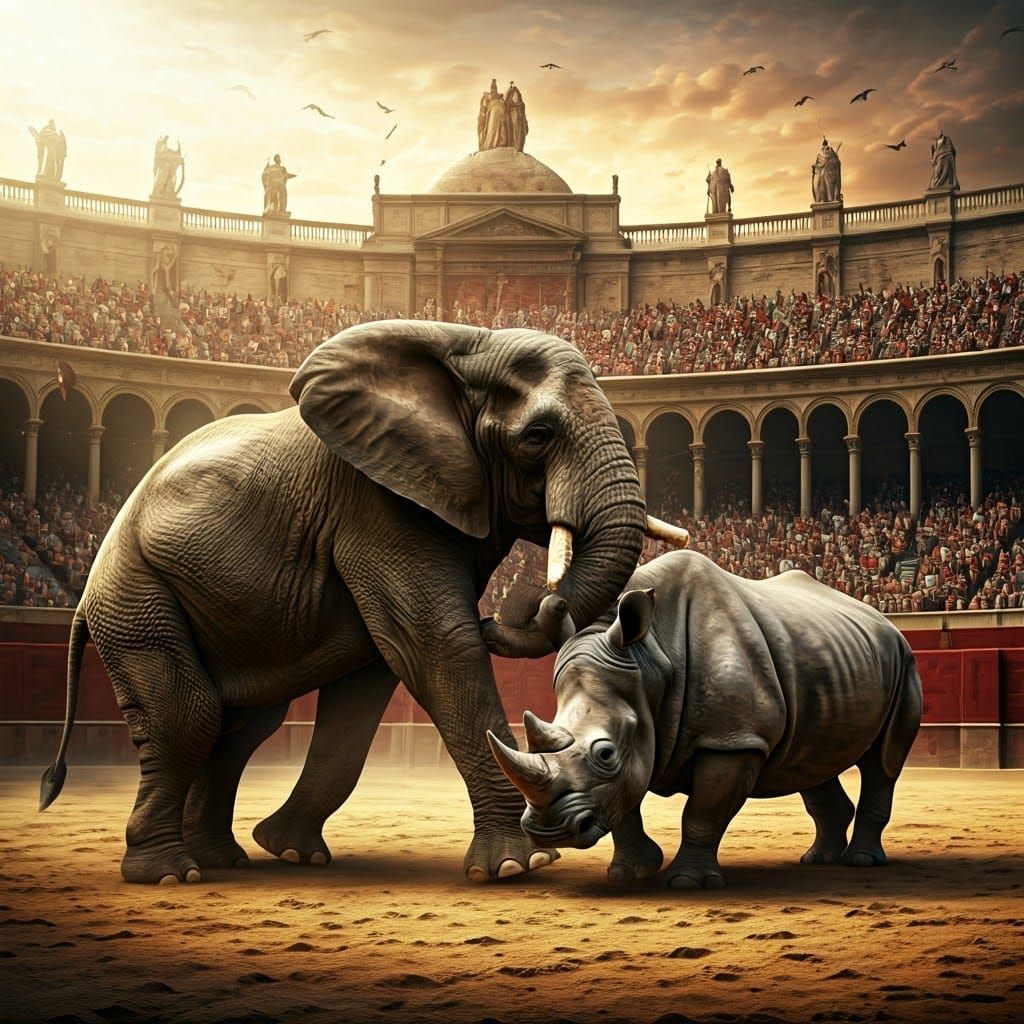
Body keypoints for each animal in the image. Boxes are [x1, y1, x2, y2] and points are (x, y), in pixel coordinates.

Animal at [39, 320, 687, 885]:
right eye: (538, 436)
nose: (502, 611)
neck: (467, 343)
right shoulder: (377, 505)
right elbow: (436, 646)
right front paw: (515, 866)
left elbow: (372, 680)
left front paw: (292, 851)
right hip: (136, 593)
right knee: (189, 714)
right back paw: (170, 874)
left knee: (244, 721)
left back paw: (224, 859)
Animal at [488, 550, 922, 888]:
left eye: (605, 753)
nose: (547, 832)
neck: (650, 658)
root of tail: (884, 620)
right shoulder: (644, 734)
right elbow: (625, 802)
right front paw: (630, 874)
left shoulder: (732, 739)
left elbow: (701, 813)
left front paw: (687, 882)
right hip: (829, 657)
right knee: (809, 758)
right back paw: (817, 860)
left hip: (902, 661)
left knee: (883, 761)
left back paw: (861, 861)